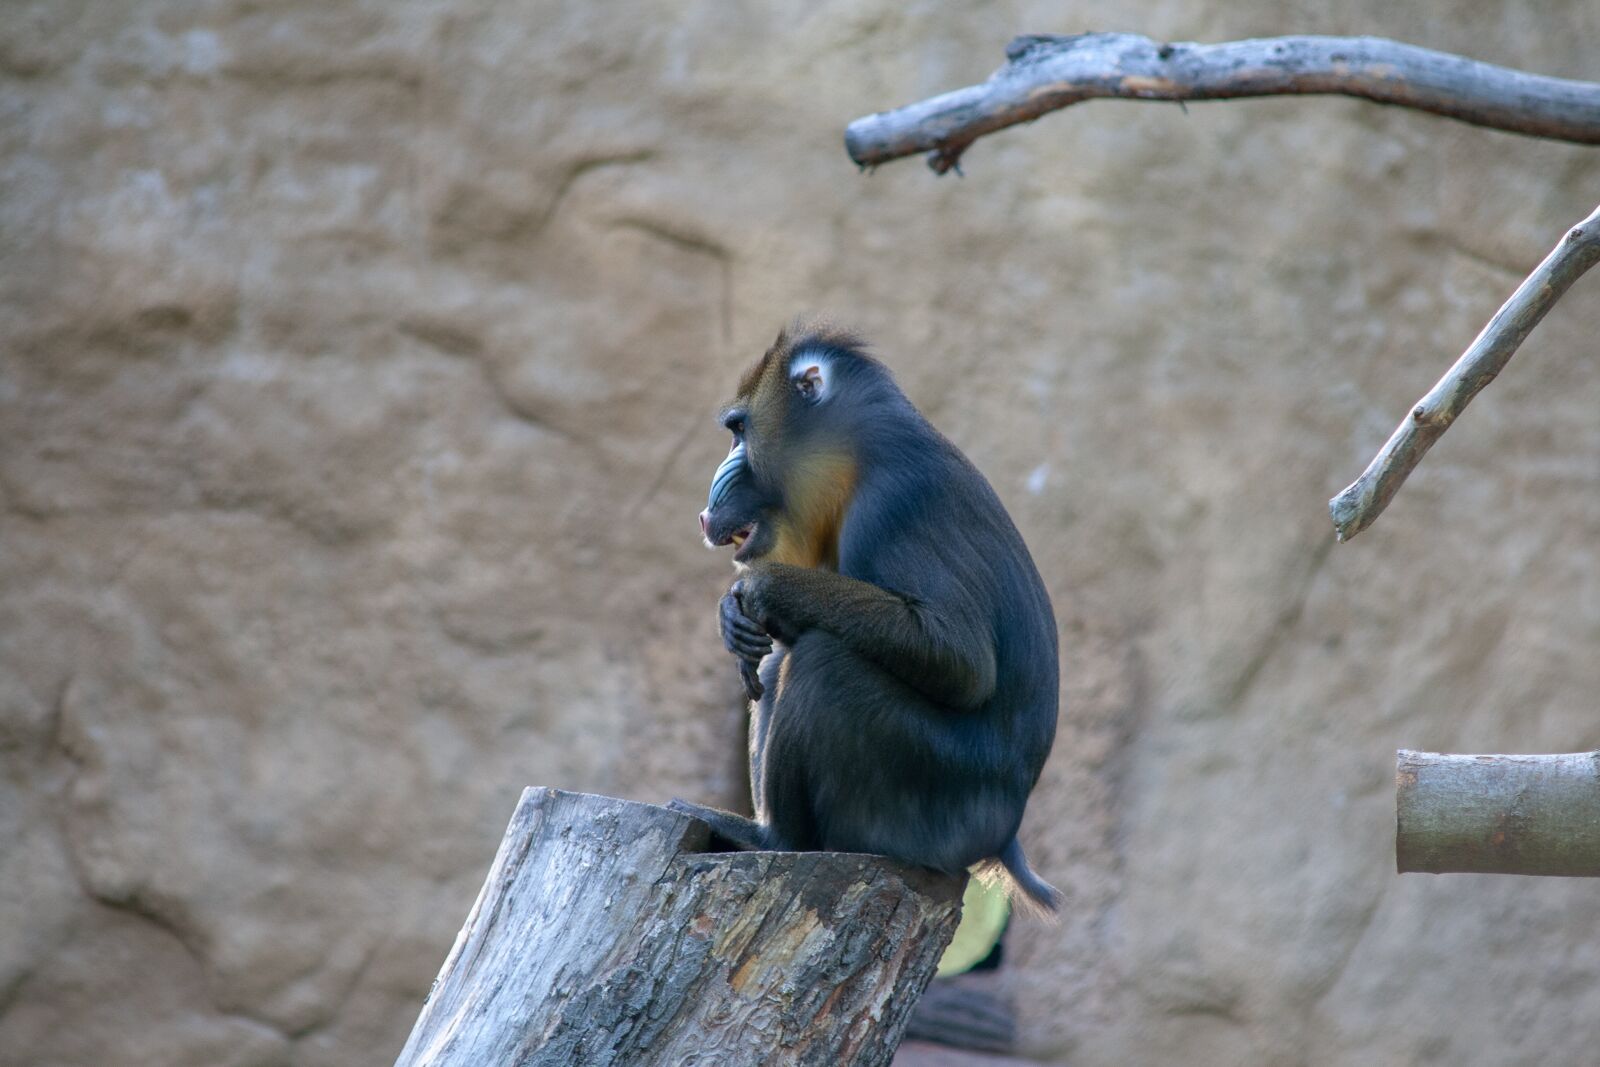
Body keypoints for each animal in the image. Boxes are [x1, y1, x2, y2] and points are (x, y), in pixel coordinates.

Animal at [673, 321, 1062, 914]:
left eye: (739, 431)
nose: (705, 509)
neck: (858, 454)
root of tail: (1003, 838)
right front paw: (730, 617)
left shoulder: (895, 501)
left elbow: (963, 662)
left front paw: (757, 590)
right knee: (783, 660)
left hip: (924, 803)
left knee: (821, 661)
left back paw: (772, 839)